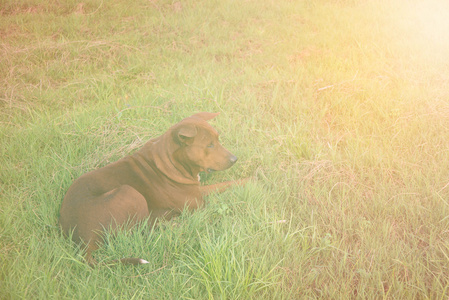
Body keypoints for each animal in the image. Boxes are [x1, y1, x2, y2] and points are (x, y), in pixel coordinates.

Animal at [60, 112, 243, 264]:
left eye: (218, 140)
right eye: (210, 145)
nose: (234, 159)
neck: (170, 160)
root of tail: (84, 242)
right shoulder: (198, 200)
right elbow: (228, 183)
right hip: (130, 192)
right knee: (140, 230)